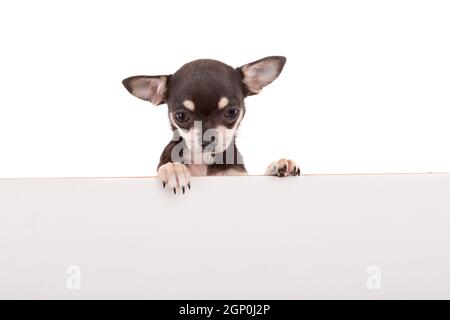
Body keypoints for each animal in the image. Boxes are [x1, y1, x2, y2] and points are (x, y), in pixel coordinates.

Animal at [123, 56, 298, 194]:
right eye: (181, 116)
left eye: (232, 112)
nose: (207, 141)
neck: (203, 160)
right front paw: (173, 168)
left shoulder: (237, 176)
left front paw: (279, 165)